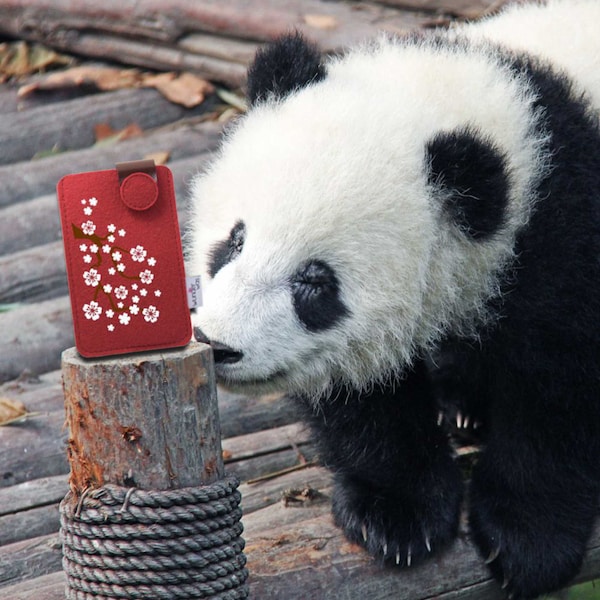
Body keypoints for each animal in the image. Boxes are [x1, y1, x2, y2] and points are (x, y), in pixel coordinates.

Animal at [188, 1, 600, 596]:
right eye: (235, 240)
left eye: (315, 282)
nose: (218, 344)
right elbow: (362, 395)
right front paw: (397, 513)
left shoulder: (569, 231)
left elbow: (560, 388)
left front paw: (529, 538)